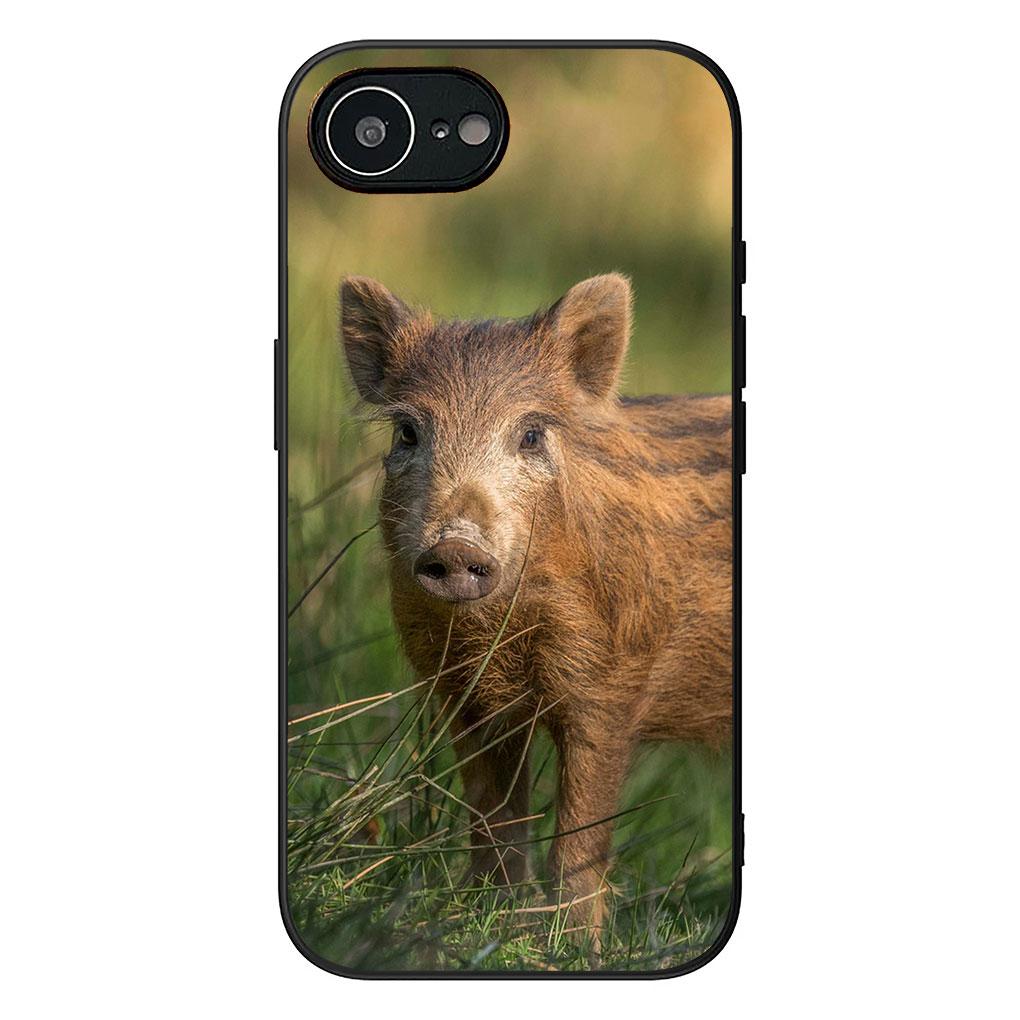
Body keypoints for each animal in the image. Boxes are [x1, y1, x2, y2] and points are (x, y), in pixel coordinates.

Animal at [340, 273, 732, 938]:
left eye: (529, 434)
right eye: (408, 432)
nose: (455, 546)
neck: (500, 629)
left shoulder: (610, 688)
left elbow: (579, 842)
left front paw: (570, 946)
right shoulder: (464, 695)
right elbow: (493, 821)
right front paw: (484, 918)